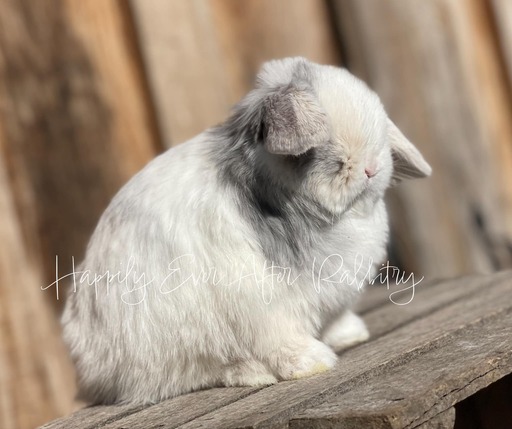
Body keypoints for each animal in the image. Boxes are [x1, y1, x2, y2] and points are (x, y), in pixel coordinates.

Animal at [61, 56, 432, 404]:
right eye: (322, 146)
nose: (371, 169)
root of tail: (90, 372)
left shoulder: (330, 299)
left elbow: (334, 320)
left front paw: (351, 335)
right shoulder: (266, 308)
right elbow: (283, 341)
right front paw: (314, 363)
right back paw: (253, 374)